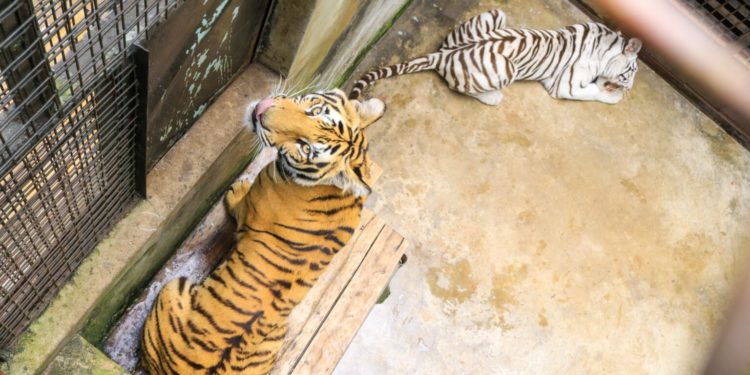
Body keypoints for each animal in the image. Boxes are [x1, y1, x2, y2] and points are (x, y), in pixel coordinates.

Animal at [142, 89, 388, 374]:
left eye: (305, 147)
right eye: (315, 111)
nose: (262, 114)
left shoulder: (249, 209)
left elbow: (238, 203)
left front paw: (237, 189)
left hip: (172, 288)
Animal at [350, 9, 644, 106]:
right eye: (630, 73)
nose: (630, 88)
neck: (605, 44)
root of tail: (443, 55)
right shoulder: (566, 86)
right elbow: (592, 92)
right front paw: (614, 96)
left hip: (496, 14)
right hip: (507, 69)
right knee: (460, 87)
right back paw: (492, 97)